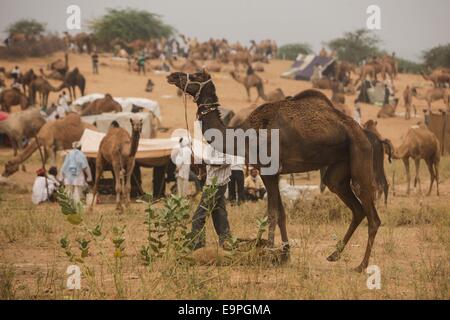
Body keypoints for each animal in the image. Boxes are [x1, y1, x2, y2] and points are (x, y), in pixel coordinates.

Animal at [167, 70, 382, 272]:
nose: (172, 75)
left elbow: (272, 213)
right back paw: (334, 255)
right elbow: (281, 213)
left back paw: (362, 265)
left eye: (196, 75)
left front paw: (269, 250)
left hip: (360, 153)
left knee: (372, 216)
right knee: (353, 205)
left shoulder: (268, 171)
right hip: (339, 167)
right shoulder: (274, 173)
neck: (243, 135)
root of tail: (363, 132)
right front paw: (285, 252)